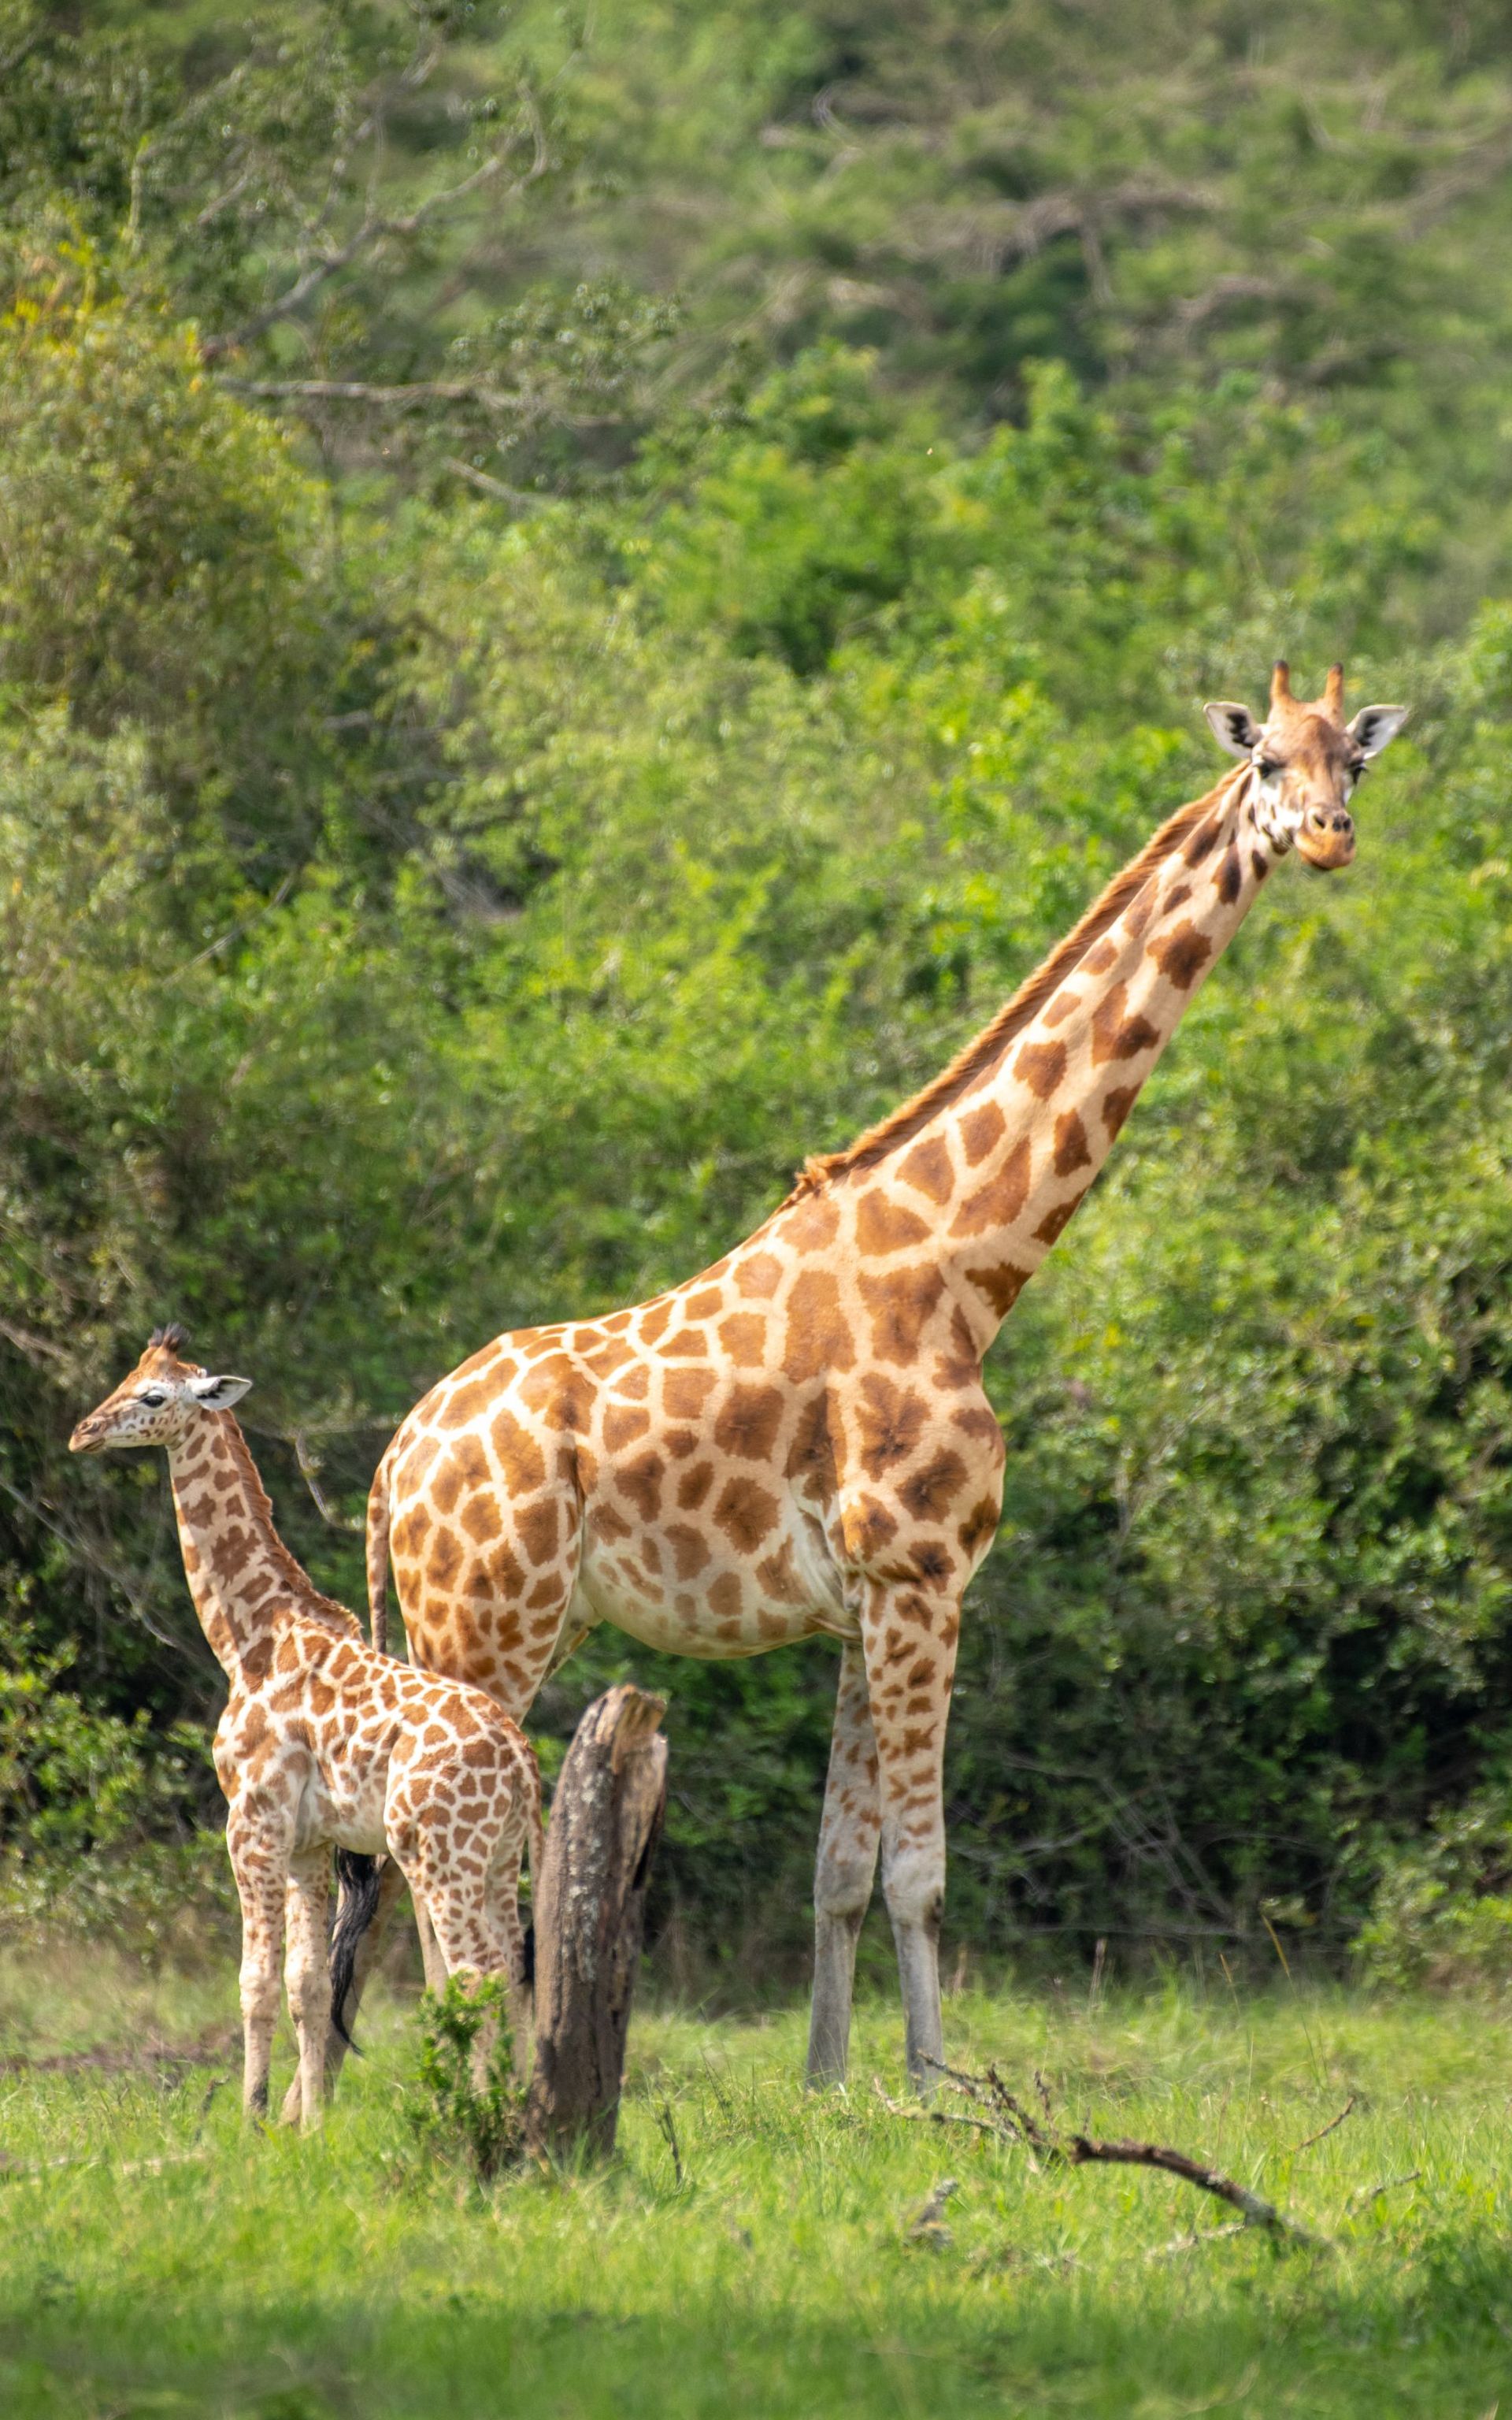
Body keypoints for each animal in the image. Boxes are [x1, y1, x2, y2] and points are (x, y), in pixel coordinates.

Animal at [69, 1327, 541, 2126]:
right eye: (127, 1377)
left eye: (153, 1397)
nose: (84, 1432)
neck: (248, 1639)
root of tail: (522, 1765)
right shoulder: (310, 1843)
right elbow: (310, 1986)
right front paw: (312, 2126)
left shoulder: (251, 1822)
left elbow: (255, 1982)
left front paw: (252, 2118)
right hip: (498, 1859)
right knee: (511, 1972)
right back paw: (524, 2110)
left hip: (440, 1855)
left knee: (476, 1975)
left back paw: (484, 2115)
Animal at [348, 663, 1407, 2088]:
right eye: (1266, 765)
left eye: (1354, 759)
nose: (1332, 837)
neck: (964, 1267)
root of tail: (394, 1463)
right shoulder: (925, 1579)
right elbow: (922, 1872)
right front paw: (936, 2088)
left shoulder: (864, 1605)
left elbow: (841, 1872)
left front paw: (830, 2083)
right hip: (485, 1627)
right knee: (440, 1856)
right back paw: (485, 2078)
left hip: (486, 1627)